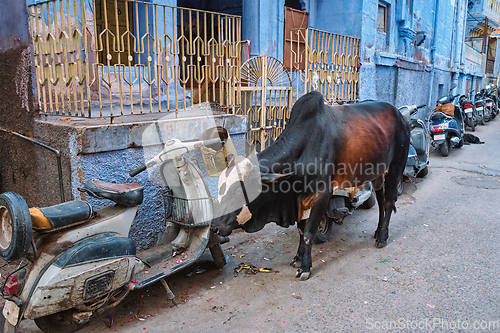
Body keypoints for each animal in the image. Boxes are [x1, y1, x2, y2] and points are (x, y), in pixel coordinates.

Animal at [211, 91, 410, 280]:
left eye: (237, 191)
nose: (214, 226)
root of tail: (400, 115)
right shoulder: (300, 199)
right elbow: (301, 230)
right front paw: (298, 259)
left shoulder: (322, 195)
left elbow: (309, 232)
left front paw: (305, 267)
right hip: (377, 173)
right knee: (381, 201)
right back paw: (378, 232)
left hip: (395, 167)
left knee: (389, 202)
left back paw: (382, 237)